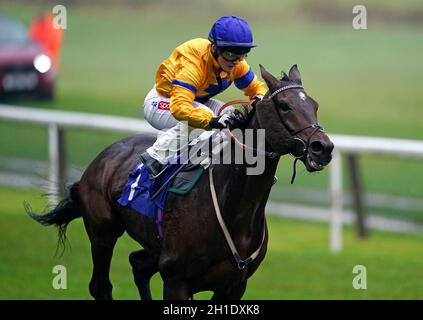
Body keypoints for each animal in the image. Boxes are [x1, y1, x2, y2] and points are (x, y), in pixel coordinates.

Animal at [29, 65, 334, 300]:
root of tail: (102, 158)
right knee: (100, 286)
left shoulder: (233, 286)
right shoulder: (177, 281)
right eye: (284, 105)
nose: (323, 148)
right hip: (103, 232)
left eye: (315, 105)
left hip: (154, 247)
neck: (234, 208)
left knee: (138, 264)